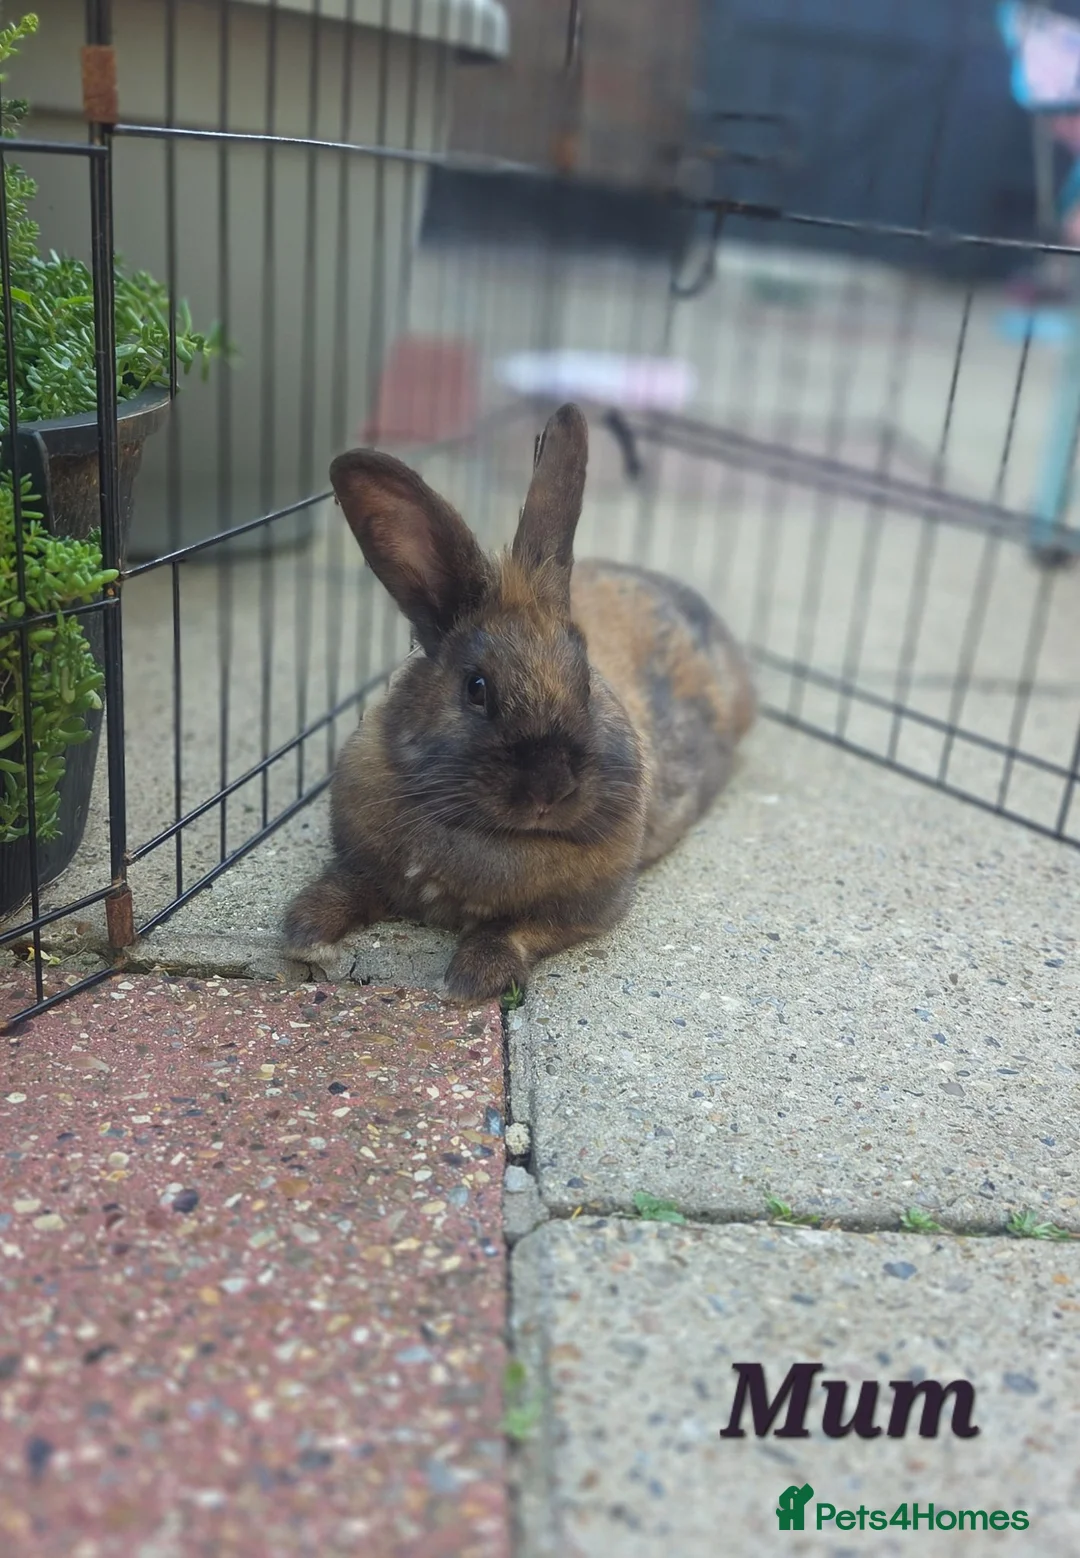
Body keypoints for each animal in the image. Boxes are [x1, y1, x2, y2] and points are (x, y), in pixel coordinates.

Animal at [282, 402, 754, 1002]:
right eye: (476, 688)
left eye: (585, 680)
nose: (548, 791)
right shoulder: (363, 867)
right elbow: (342, 889)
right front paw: (305, 935)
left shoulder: (582, 911)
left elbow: (513, 930)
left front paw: (469, 979)